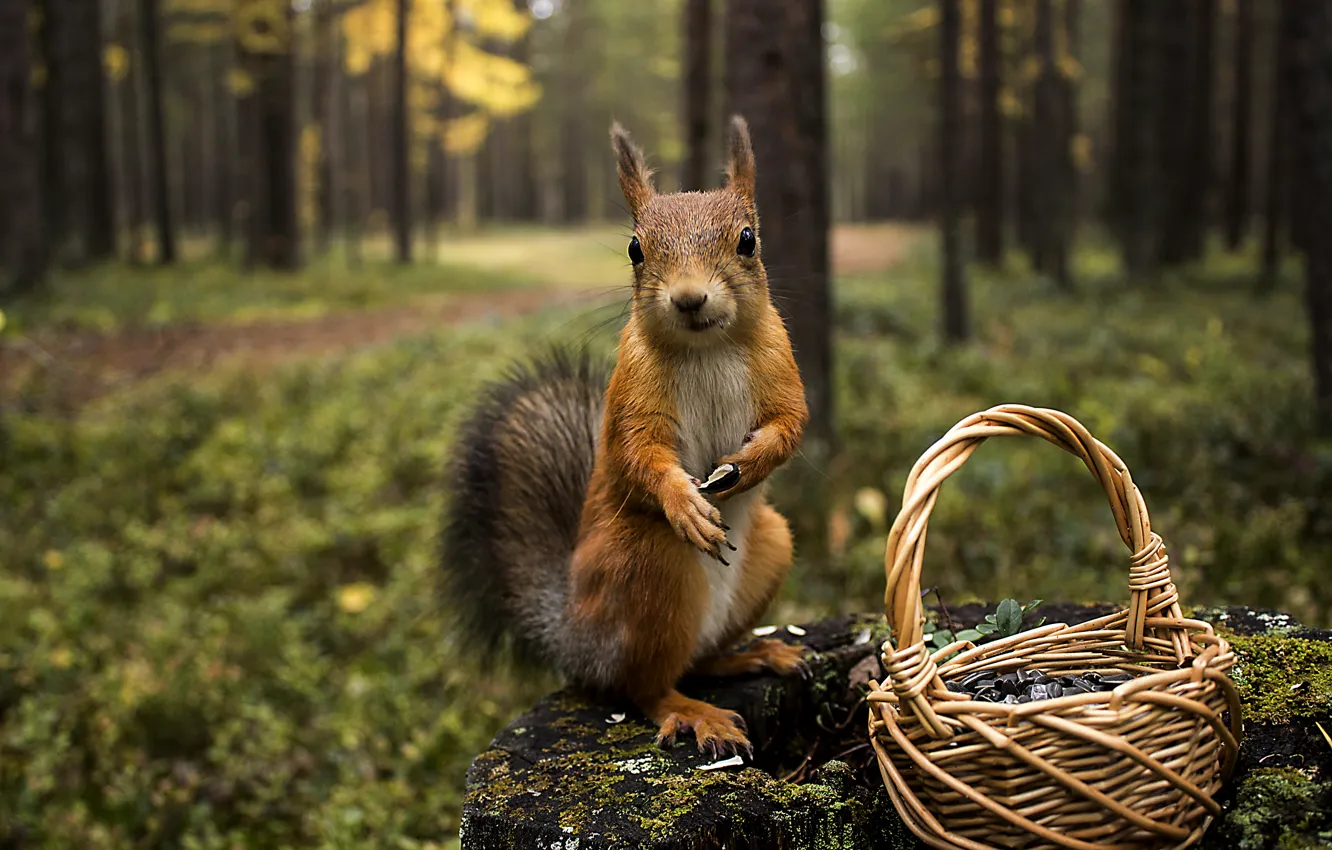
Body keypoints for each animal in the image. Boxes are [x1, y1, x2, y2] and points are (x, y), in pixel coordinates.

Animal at [440, 115, 809, 758]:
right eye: (636, 248)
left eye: (748, 239)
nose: (689, 297)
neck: (708, 346)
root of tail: (576, 640)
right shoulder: (632, 394)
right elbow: (639, 454)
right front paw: (684, 502)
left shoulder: (780, 366)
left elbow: (790, 424)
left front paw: (750, 464)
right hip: (646, 567)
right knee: (644, 686)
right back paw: (693, 711)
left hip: (771, 547)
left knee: (697, 660)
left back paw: (753, 654)